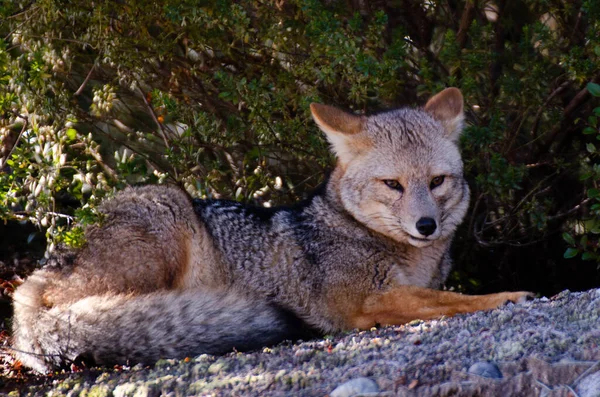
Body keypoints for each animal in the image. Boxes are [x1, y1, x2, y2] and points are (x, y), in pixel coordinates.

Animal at [11, 86, 532, 372]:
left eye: (437, 182)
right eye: (393, 185)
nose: (426, 225)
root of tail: (29, 286)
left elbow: (443, 294)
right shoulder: (362, 302)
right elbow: (451, 300)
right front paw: (508, 295)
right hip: (168, 209)